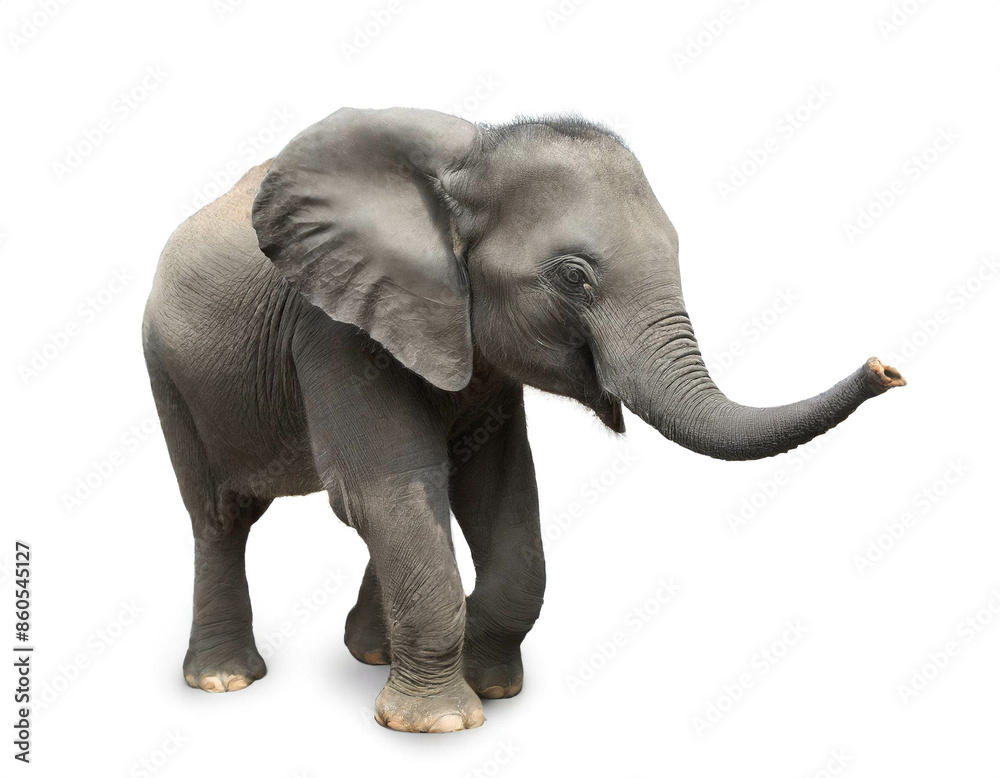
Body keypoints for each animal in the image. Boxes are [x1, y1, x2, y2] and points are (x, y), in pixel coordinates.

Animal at [142, 107, 905, 733]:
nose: (887, 369)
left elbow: (496, 489)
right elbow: (383, 487)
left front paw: (490, 685)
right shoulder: (331, 327)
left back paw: (370, 653)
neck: (472, 155)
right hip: (167, 371)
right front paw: (439, 723)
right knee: (222, 516)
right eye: (573, 277)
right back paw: (225, 680)